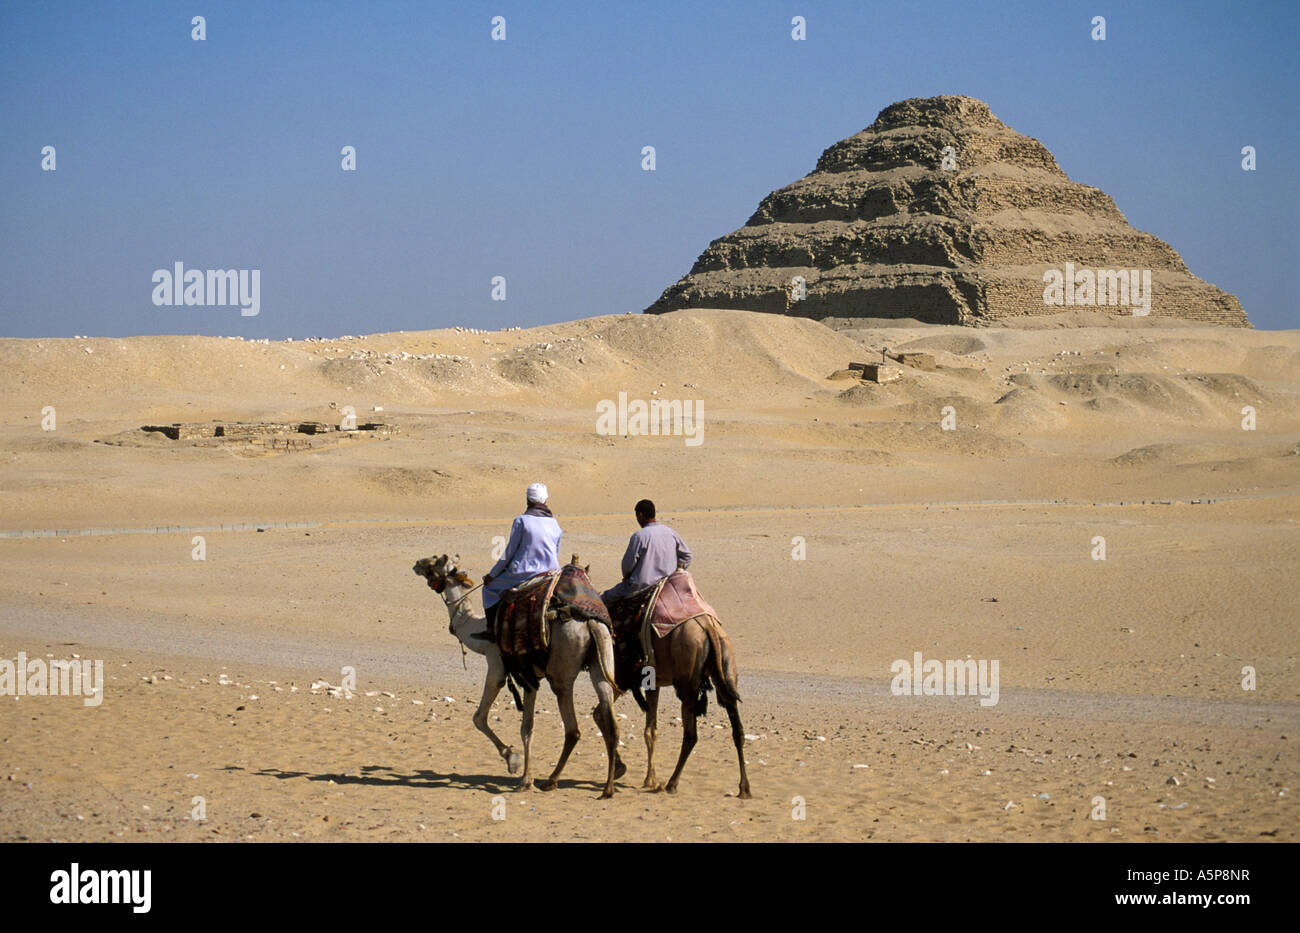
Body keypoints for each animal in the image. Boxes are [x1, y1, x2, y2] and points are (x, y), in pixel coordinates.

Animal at [410, 556, 624, 805]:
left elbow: (480, 718)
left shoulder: (497, 664)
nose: (417, 563)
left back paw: (551, 781)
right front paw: (525, 776)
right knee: (611, 723)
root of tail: (589, 621)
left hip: (562, 670)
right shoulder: (529, 677)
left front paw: (514, 762)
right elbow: (527, 727)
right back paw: (608, 788)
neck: (476, 630)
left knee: (573, 729)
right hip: (602, 659)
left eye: (436, 561)